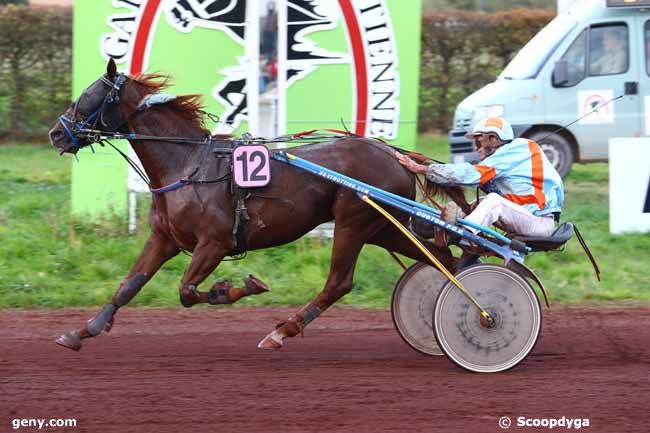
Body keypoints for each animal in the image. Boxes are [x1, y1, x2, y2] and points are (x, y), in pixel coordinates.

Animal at [49, 59, 466, 352]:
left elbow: (187, 291)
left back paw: (283, 330)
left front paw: (235, 288)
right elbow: (129, 285)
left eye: (89, 96)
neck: (188, 165)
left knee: (339, 282)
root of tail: (394, 154)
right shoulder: (164, 238)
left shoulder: (215, 243)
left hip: (354, 222)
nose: (55, 133)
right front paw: (82, 331)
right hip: (383, 226)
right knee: (441, 259)